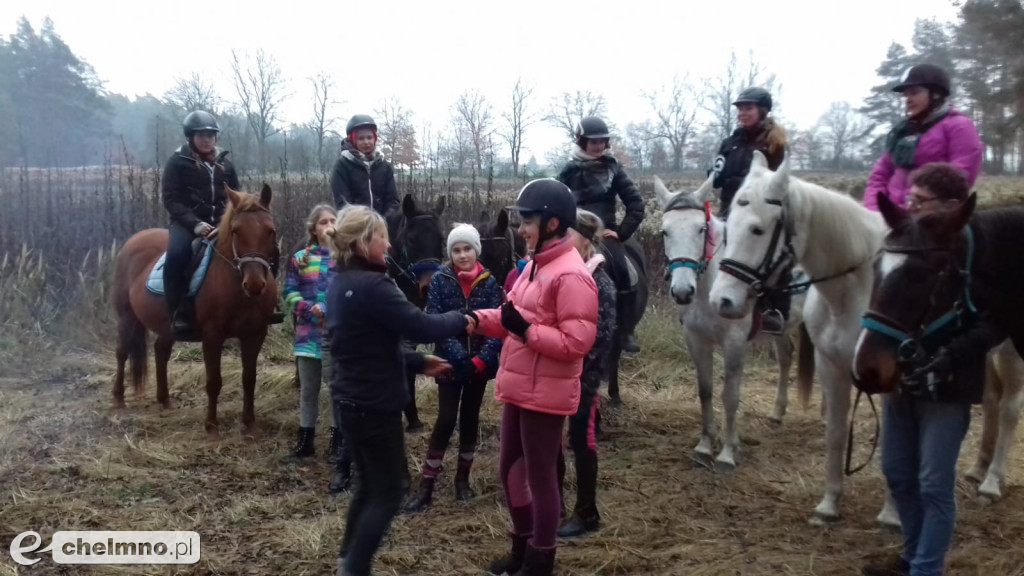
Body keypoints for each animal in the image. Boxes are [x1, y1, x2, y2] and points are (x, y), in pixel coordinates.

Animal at [110, 183, 278, 438]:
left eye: (271, 231)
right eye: (236, 231)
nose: (255, 284)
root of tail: (134, 240)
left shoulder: (255, 334)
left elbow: (250, 379)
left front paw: (250, 425)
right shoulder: (212, 336)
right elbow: (214, 381)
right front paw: (212, 427)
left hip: (166, 325)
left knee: (161, 351)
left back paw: (165, 400)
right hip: (126, 317)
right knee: (122, 351)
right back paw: (119, 398)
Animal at [659, 174, 811, 471]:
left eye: (700, 229)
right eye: (665, 232)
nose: (682, 291)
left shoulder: (734, 344)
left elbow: (729, 396)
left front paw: (727, 453)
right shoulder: (696, 340)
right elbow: (705, 390)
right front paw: (705, 445)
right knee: (786, 356)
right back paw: (777, 413)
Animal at [712, 153, 897, 524]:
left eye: (758, 229)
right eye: (727, 225)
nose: (721, 301)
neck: (855, 288)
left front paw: (891, 513)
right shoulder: (830, 363)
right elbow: (836, 434)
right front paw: (829, 504)